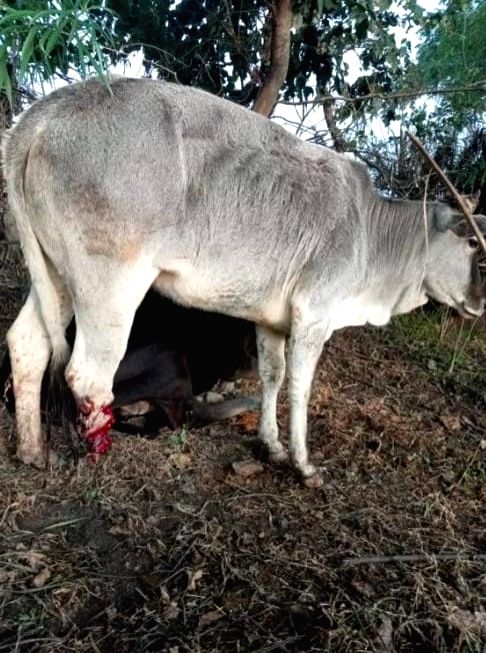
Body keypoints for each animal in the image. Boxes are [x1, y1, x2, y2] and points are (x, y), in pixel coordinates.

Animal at [2, 77, 485, 486]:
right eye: (472, 245)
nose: (479, 302)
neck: (370, 231)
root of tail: (44, 113)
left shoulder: (271, 321)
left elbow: (273, 376)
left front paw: (270, 445)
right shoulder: (314, 314)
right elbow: (300, 387)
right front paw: (303, 464)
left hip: (55, 273)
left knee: (27, 344)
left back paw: (32, 450)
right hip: (112, 284)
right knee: (87, 375)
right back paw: (97, 455)